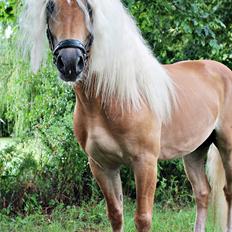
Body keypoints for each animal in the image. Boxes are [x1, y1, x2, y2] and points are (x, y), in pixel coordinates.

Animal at [20, 0, 232, 232]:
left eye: (89, 9)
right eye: (50, 7)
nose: (69, 62)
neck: (116, 99)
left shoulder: (145, 163)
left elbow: (142, 218)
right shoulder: (102, 165)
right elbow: (115, 214)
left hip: (226, 147)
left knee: (227, 192)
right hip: (195, 150)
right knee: (203, 192)